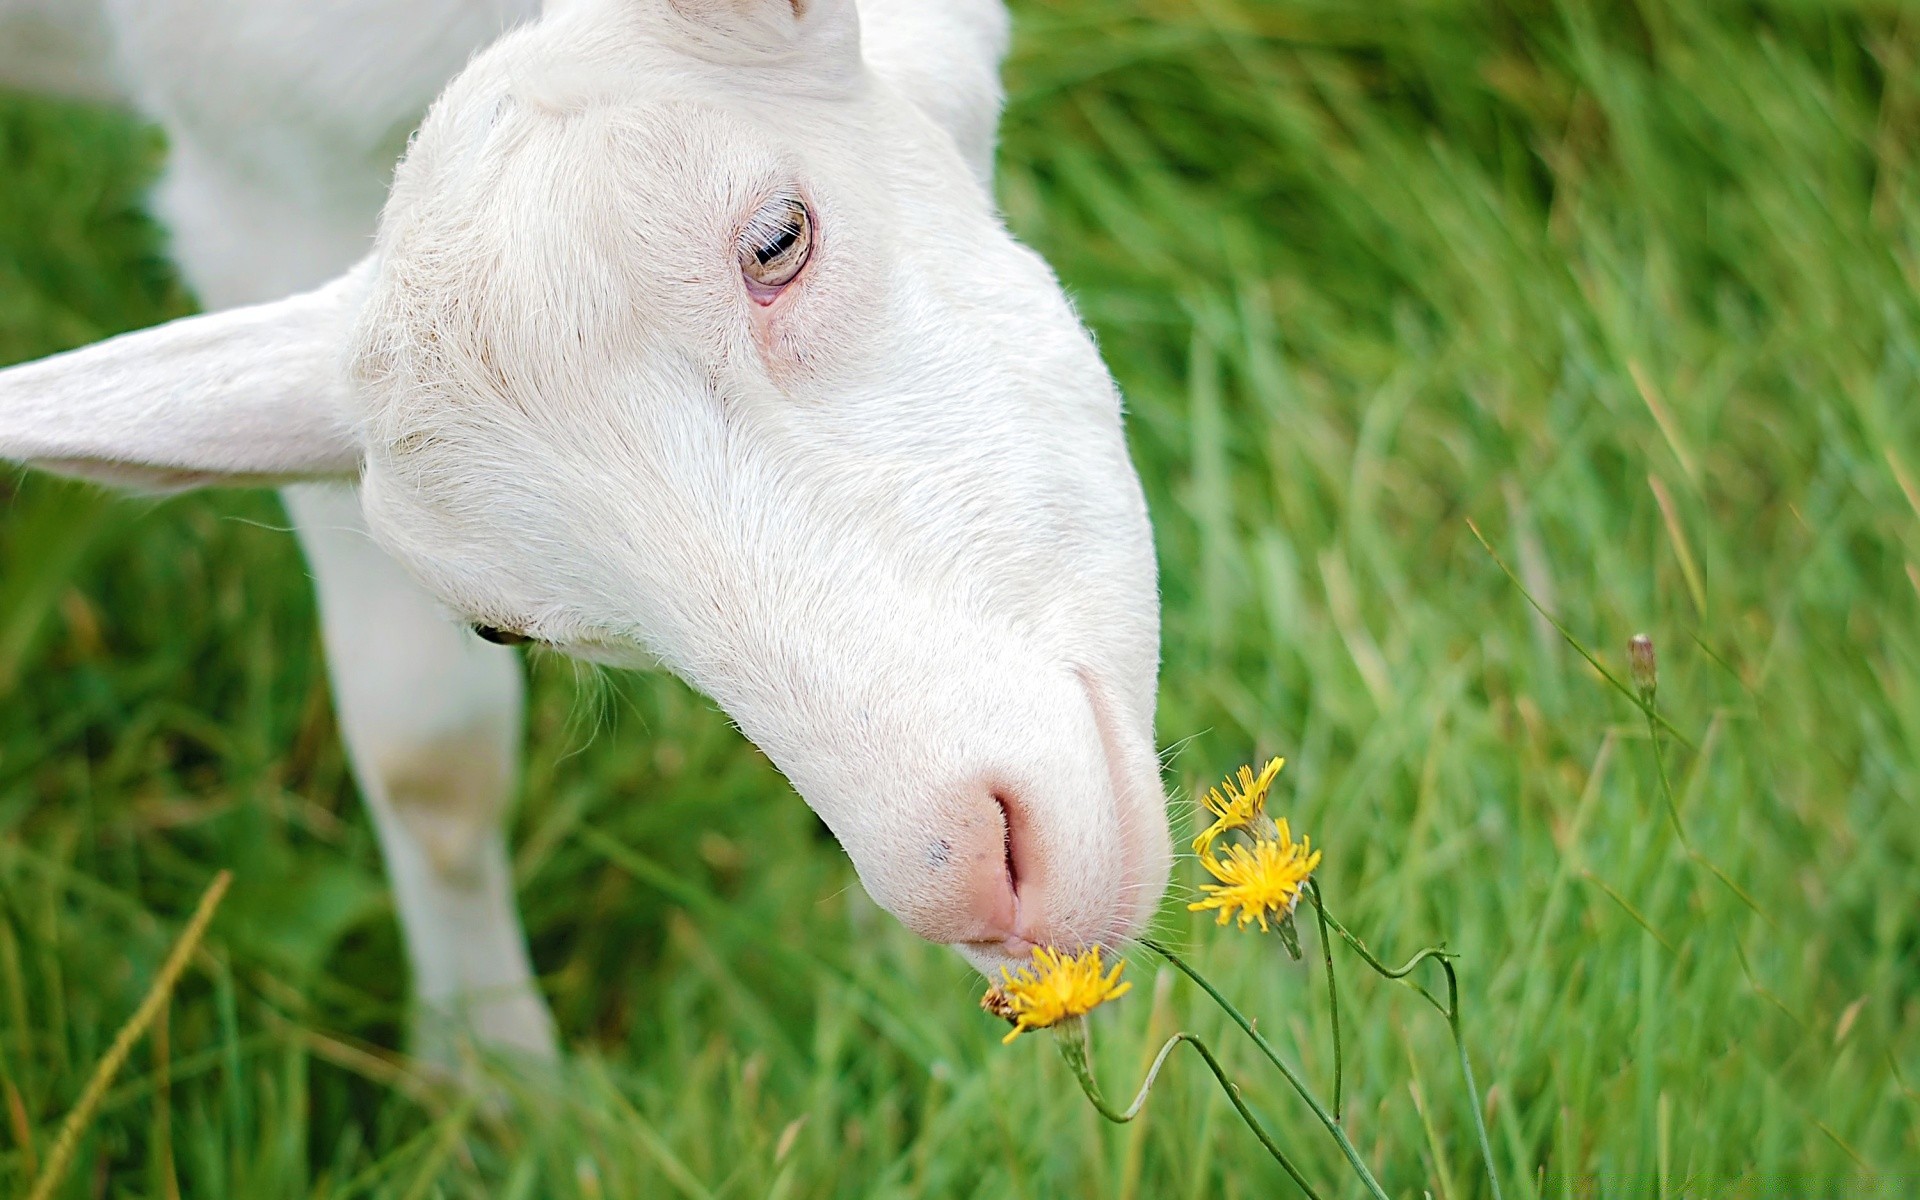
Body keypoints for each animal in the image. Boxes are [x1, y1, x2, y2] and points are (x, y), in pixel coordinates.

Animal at [0, 0, 1167, 1059]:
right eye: (501, 630)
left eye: (778, 238)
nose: (975, 880)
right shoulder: (256, 174)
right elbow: (430, 761)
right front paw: (496, 1083)